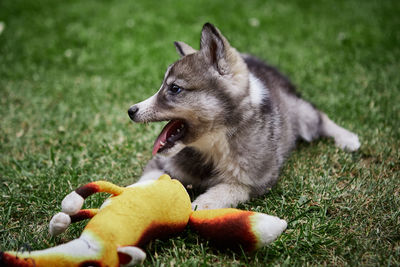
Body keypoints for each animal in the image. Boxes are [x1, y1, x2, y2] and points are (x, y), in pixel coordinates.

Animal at [127, 23, 360, 210]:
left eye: (174, 89)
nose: (131, 111)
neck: (213, 144)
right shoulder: (161, 164)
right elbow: (145, 182)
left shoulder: (251, 182)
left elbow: (218, 195)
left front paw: (195, 208)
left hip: (302, 116)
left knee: (319, 115)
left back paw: (347, 138)